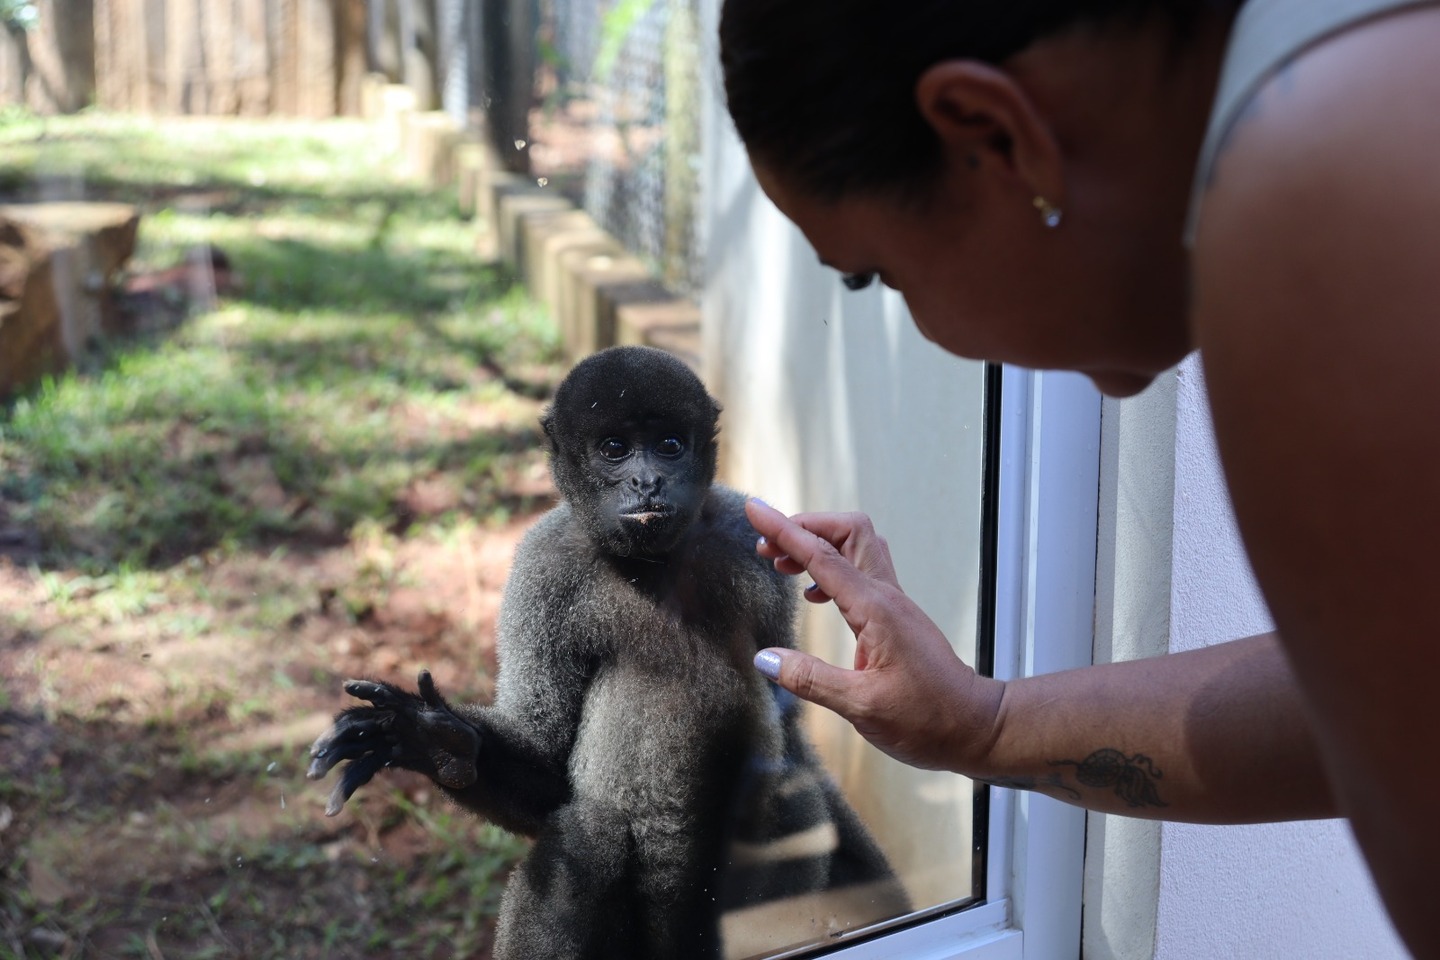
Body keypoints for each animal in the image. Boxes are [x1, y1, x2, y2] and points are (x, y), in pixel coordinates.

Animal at [308, 346, 904, 960]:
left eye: (670, 444)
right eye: (614, 448)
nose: (647, 481)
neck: (652, 563)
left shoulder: (751, 542)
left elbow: (790, 735)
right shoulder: (542, 569)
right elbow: (547, 756)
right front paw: (437, 741)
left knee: (791, 795)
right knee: (587, 837)